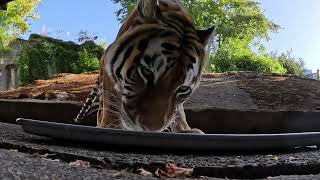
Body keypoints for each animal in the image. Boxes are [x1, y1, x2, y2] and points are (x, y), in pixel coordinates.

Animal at [74, 0, 216, 134]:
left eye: (183, 89)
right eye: (147, 72)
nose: (151, 129)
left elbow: (178, 110)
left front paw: (184, 130)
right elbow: (111, 101)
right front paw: (111, 126)